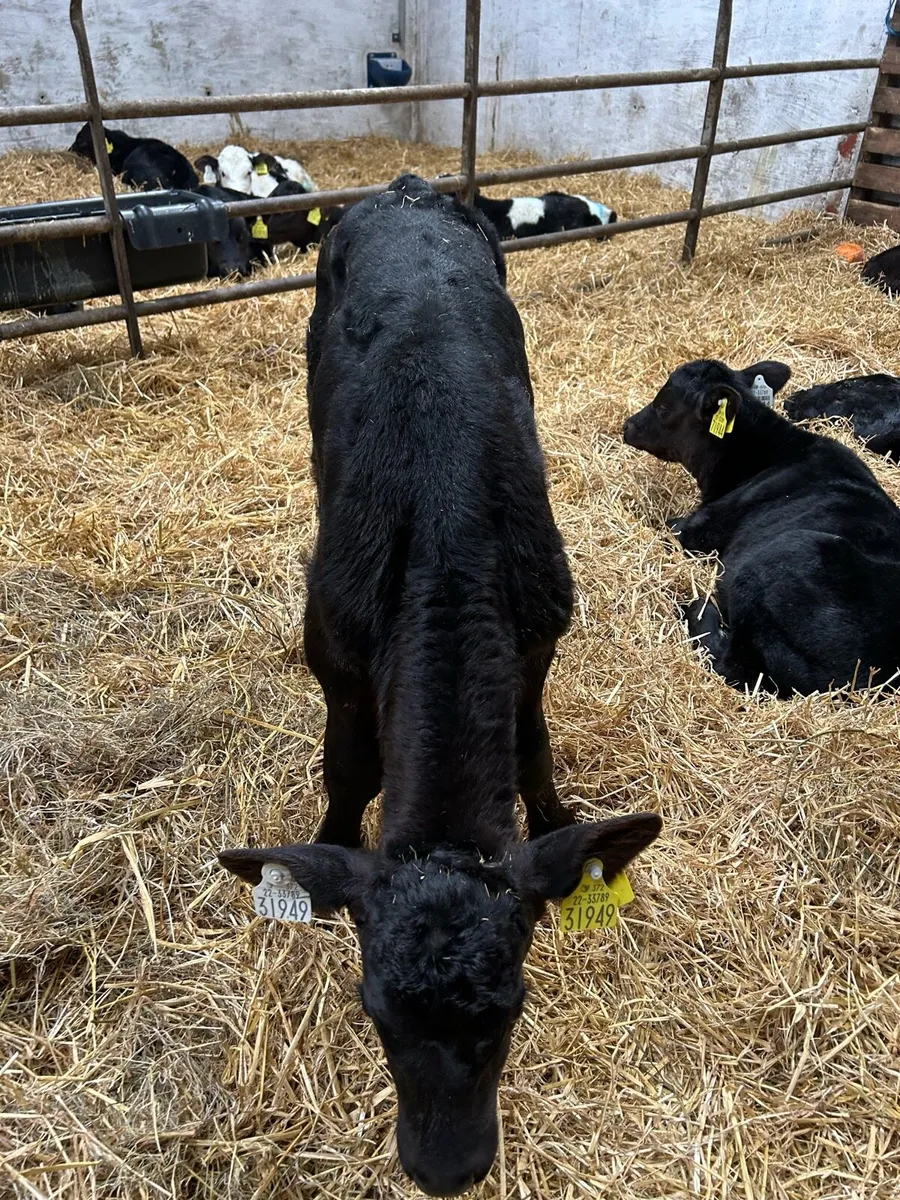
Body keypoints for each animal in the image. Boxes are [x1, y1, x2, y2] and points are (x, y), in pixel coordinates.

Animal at [622, 358, 900, 697]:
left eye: (664, 407)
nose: (627, 426)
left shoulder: (697, 529)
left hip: (781, 561)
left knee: (734, 668)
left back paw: (697, 607)